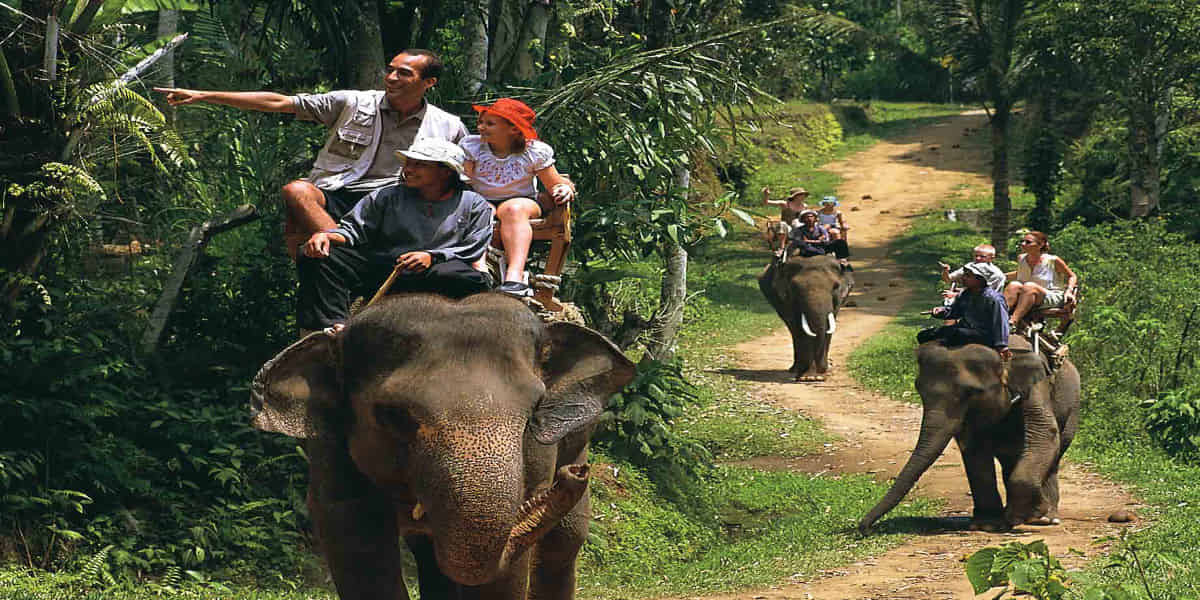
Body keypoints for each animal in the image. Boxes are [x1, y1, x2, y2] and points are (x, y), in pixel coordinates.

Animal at [249, 293, 635, 599]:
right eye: (394, 415)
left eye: (535, 409)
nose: (574, 474)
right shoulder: (331, 450)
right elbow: (357, 534)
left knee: (565, 542)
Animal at [858, 336, 1081, 534]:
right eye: (919, 390)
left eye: (972, 392)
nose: (864, 528)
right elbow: (974, 447)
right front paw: (988, 525)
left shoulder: (1037, 386)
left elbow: (1044, 432)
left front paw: (1023, 516)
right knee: (1011, 458)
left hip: (1072, 410)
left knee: (1053, 454)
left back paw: (1045, 518)